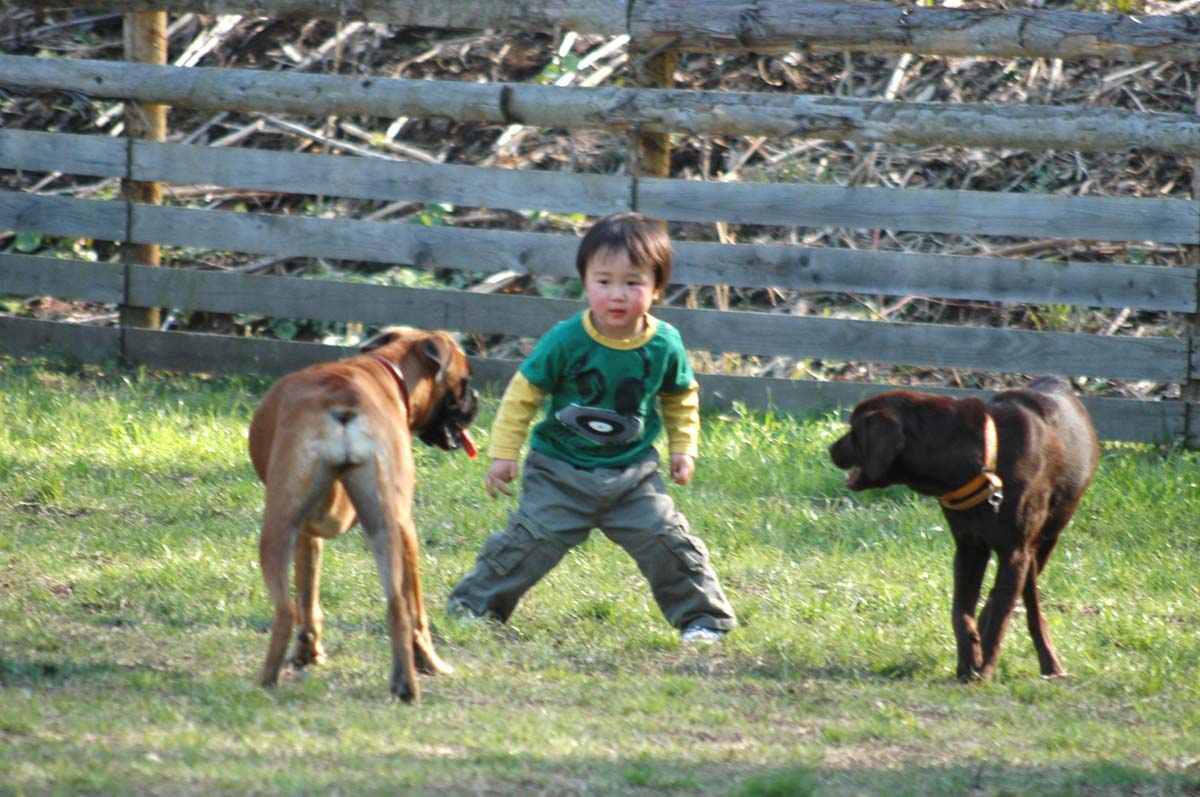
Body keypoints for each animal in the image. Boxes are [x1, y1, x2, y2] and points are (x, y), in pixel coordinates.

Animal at [248, 326, 477, 700]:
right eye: (465, 380)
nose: (476, 401)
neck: (389, 370)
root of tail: (344, 397)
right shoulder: (403, 526)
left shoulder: (308, 531)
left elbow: (308, 594)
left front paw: (308, 652)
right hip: (385, 526)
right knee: (400, 607)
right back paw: (406, 685)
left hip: (284, 526)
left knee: (287, 610)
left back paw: (266, 681)